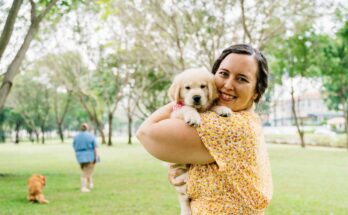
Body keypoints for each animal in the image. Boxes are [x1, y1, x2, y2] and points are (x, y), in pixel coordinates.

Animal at [167, 67, 232, 215]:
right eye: (187, 88)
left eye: (203, 86)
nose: (196, 97)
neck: (199, 109)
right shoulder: (175, 113)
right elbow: (187, 107)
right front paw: (193, 117)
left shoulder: (206, 106)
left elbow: (211, 107)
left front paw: (223, 109)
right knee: (185, 198)